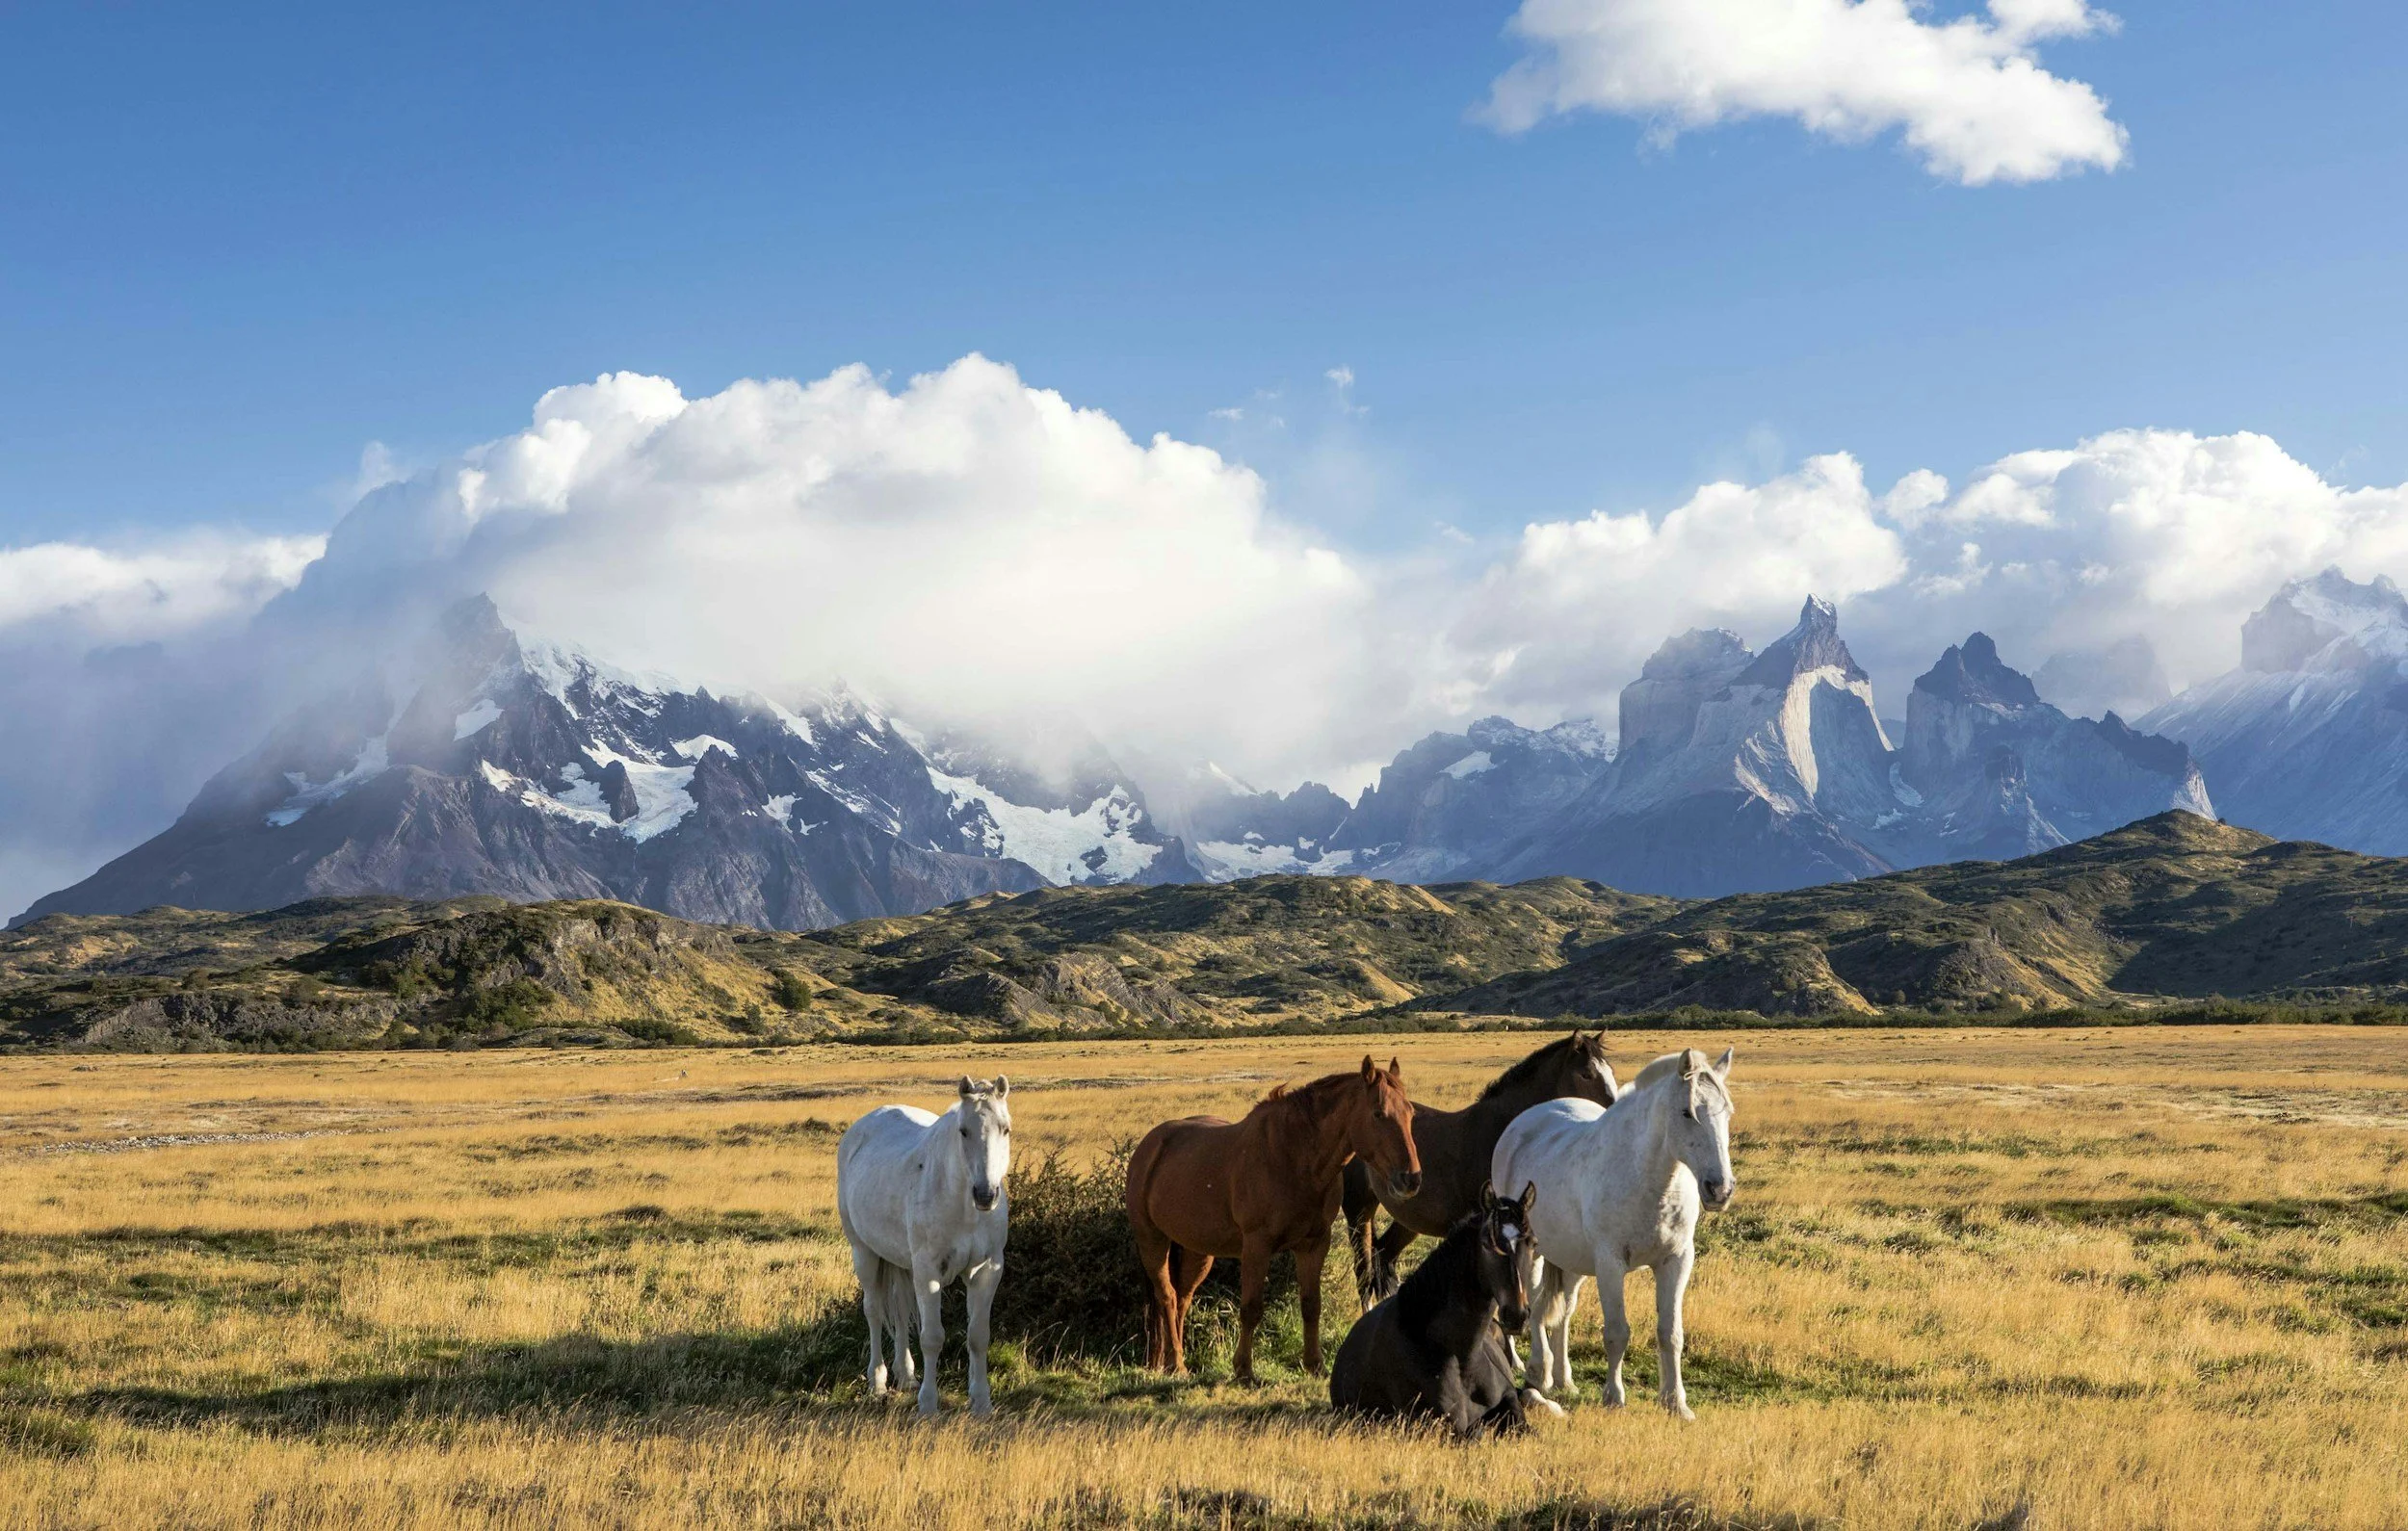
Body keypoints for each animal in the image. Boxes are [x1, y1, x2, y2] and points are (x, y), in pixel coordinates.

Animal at [836, 1074, 1013, 1417]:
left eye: (1005, 1128)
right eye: (963, 1130)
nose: (986, 1195)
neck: (963, 1206)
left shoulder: (987, 1270)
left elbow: (978, 1336)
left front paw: (982, 1402)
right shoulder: (928, 1271)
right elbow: (932, 1337)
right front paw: (929, 1405)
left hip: (902, 1263)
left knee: (901, 1311)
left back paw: (906, 1375)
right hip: (865, 1253)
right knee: (874, 1311)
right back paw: (878, 1381)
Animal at [1125, 1056, 1421, 1382]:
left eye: (1410, 1113)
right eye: (1378, 1113)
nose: (1410, 1179)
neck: (1294, 1159)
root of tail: (1150, 1146)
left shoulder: (1314, 1244)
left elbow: (1311, 1304)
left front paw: (1315, 1365)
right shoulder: (1257, 1245)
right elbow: (1251, 1307)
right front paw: (1244, 1370)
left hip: (1196, 1251)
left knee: (1182, 1298)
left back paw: (1169, 1361)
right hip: (1152, 1240)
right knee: (1166, 1295)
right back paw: (1176, 1363)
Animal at [1329, 1181, 1561, 1440]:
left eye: (1533, 1243)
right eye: (1486, 1244)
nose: (1516, 1315)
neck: (1462, 1361)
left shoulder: (1509, 1401)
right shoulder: (1445, 1425)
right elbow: (1477, 1432)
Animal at [1342, 1030, 1621, 1308]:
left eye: (1610, 1071)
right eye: (1586, 1074)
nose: (1613, 1115)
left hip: (1408, 1219)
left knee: (1383, 1256)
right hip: (1359, 1211)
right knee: (1364, 1270)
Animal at [1490, 1047, 1735, 1419]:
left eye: (1727, 1113)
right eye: (1687, 1112)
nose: (1719, 1189)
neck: (1652, 1181)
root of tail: (1522, 1122)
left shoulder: (1676, 1261)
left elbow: (1670, 1333)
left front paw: (1675, 1403)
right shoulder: (1610, 1263)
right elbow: (1617, 1332)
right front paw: (1614, 1398)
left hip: (1572, 1261)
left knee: (1563, 1312)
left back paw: (1564, 1379)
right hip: (1532, 1255)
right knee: (1534, 1303)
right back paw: (1539, 1371)